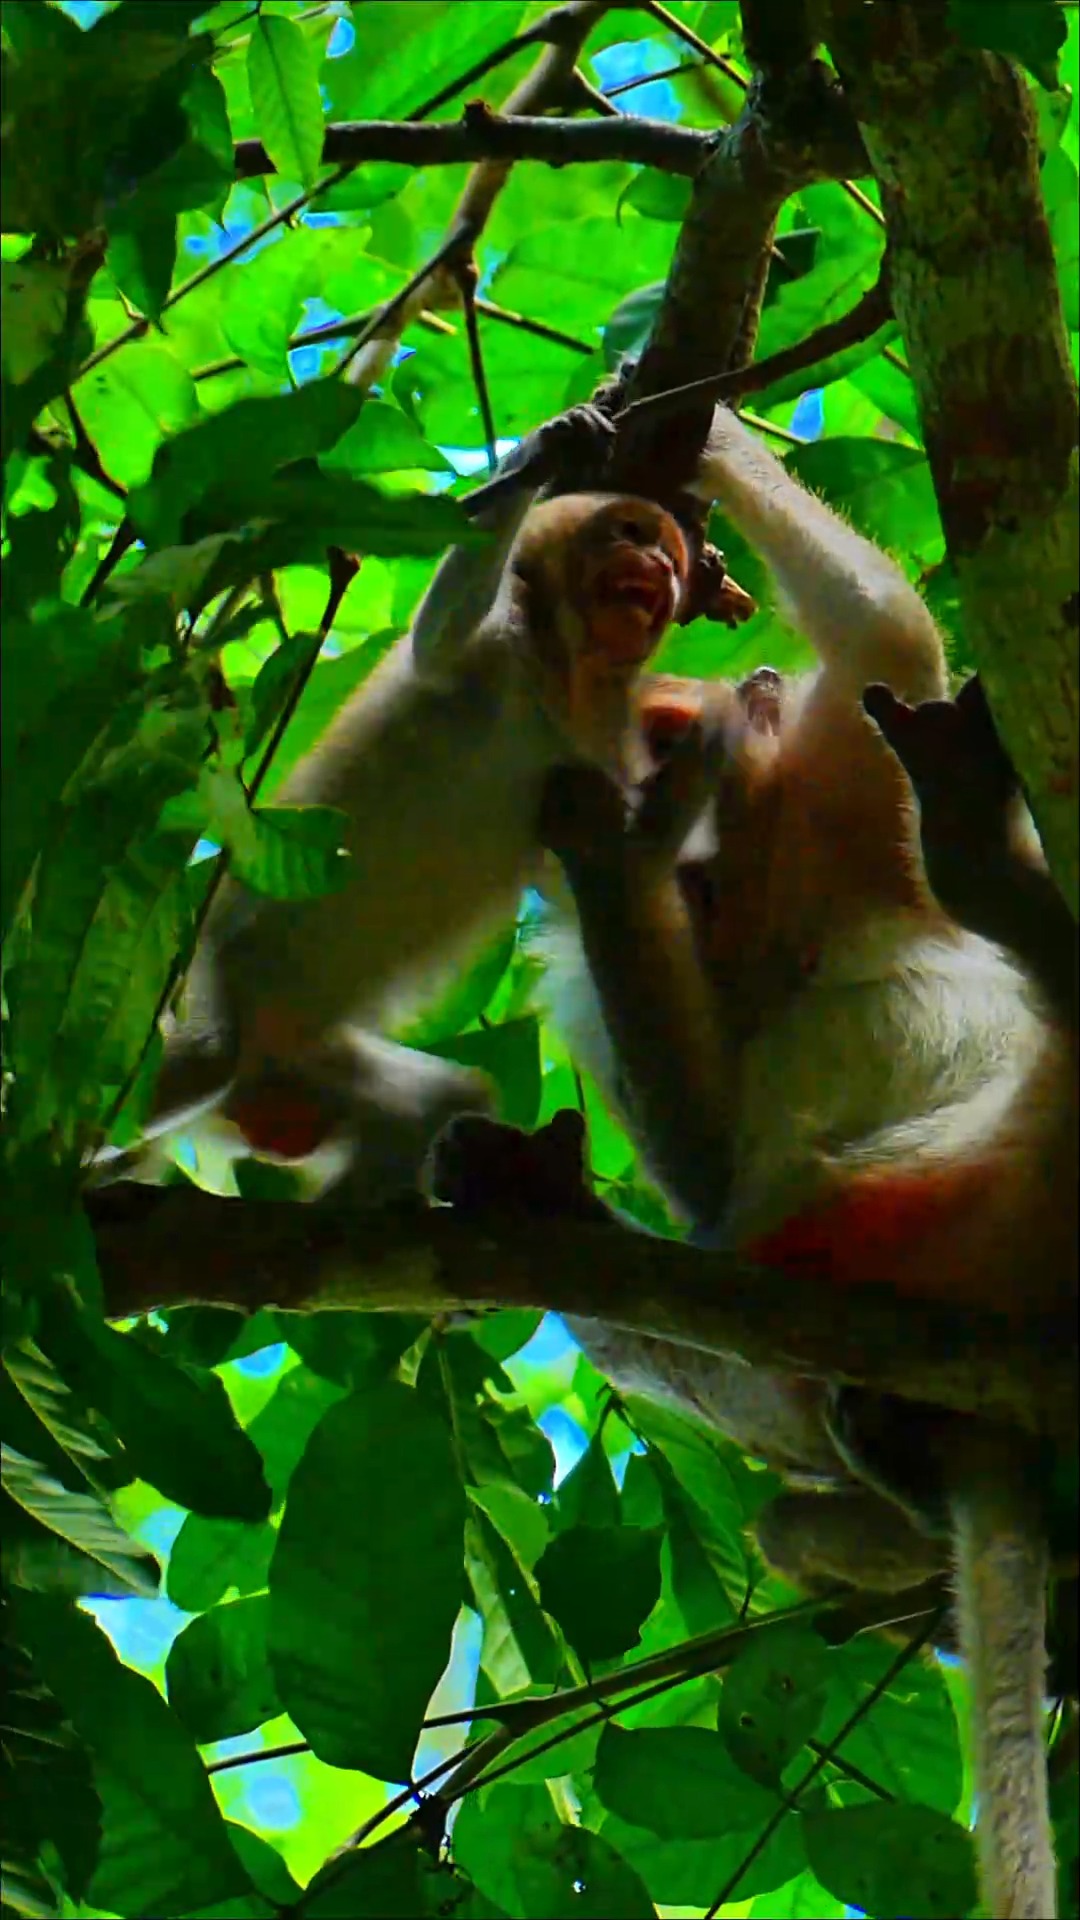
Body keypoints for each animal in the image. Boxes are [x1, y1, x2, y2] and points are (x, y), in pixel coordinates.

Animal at [117, 406, 692, 1204]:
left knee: (437, 1102)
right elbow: (438, 640)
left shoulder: (595, 741)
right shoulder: (494, 653)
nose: (664, 567)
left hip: (311, 1065)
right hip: (220, 1007)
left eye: (669, 554)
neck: (560, 674)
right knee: (196, 1063)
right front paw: (551, 446)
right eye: (633, 534)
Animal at [433, 405, 1075, 1918]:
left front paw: (684, 430)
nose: (688, 861)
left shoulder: (852, 783)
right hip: (895, 1234)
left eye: (685, 739)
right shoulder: (601, 987)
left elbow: (889, 637)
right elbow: (708, 1163)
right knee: (717, 1343)